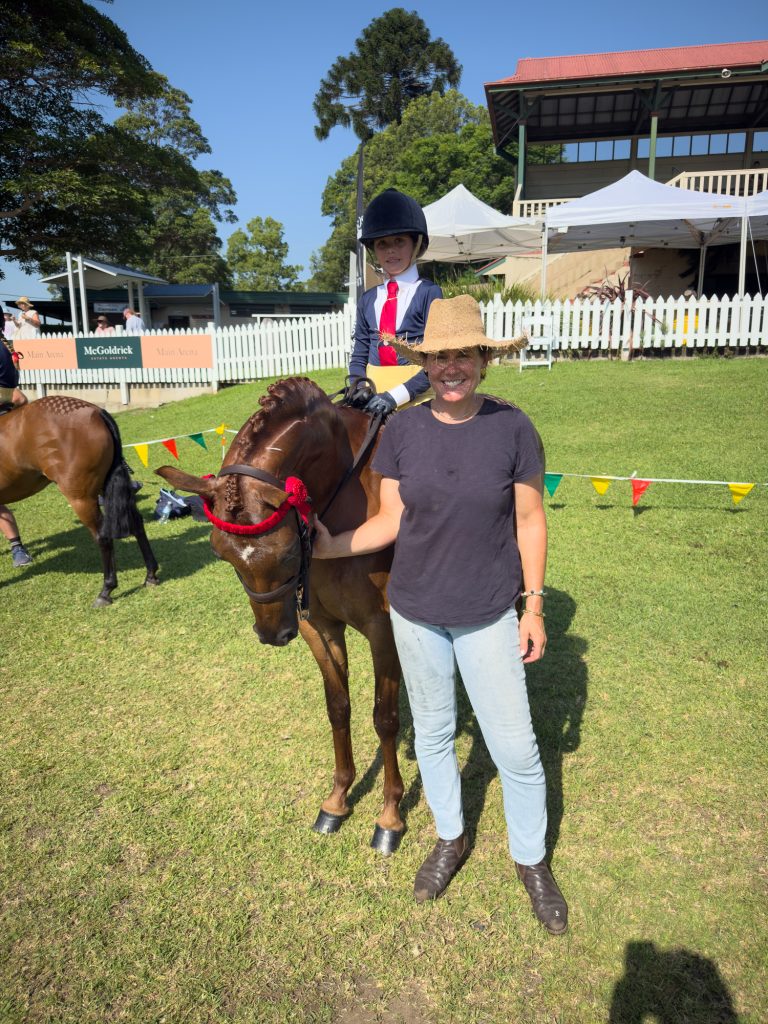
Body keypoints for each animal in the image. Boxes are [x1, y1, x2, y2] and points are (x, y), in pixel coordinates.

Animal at [0, 396, 159, 606]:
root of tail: (97, 411)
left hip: (81, 499)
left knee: (103, 537)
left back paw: (106, 591)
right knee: (137, 524)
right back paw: (150, 575)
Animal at [157, 377, 407, 854]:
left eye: (290, 550)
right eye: (219, 553)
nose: (273, 634)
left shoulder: (383, 630)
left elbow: (384, 718)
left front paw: (389, 815)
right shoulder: (316, 625)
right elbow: (338, 706)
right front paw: (337, 800)